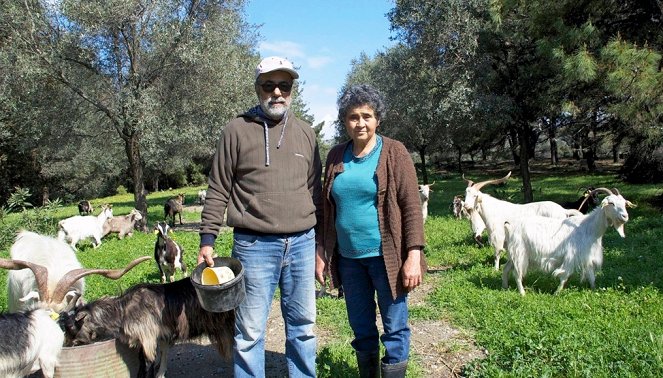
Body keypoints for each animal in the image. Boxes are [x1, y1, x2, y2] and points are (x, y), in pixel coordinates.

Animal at [59, 276, 236, 376]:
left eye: (72, 327)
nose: (67, 345)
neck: (123, 310)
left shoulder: (147, 338)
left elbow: (147, 363)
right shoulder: (157, 336)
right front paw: (161, 372)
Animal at [504, 187, 640, 296]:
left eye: (624, 203)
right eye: (611, 203)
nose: (625, 217)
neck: (588, 228)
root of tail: (510, 226)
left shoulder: (587, 257)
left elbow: (591, 277)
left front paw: (594, 290)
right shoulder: (571, 256)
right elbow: (564, 276)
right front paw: (556, 293)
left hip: (514, 254)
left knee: (506, 268)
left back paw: (504, 287)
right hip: (520, 252)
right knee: (517, 273)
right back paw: (522, 293)